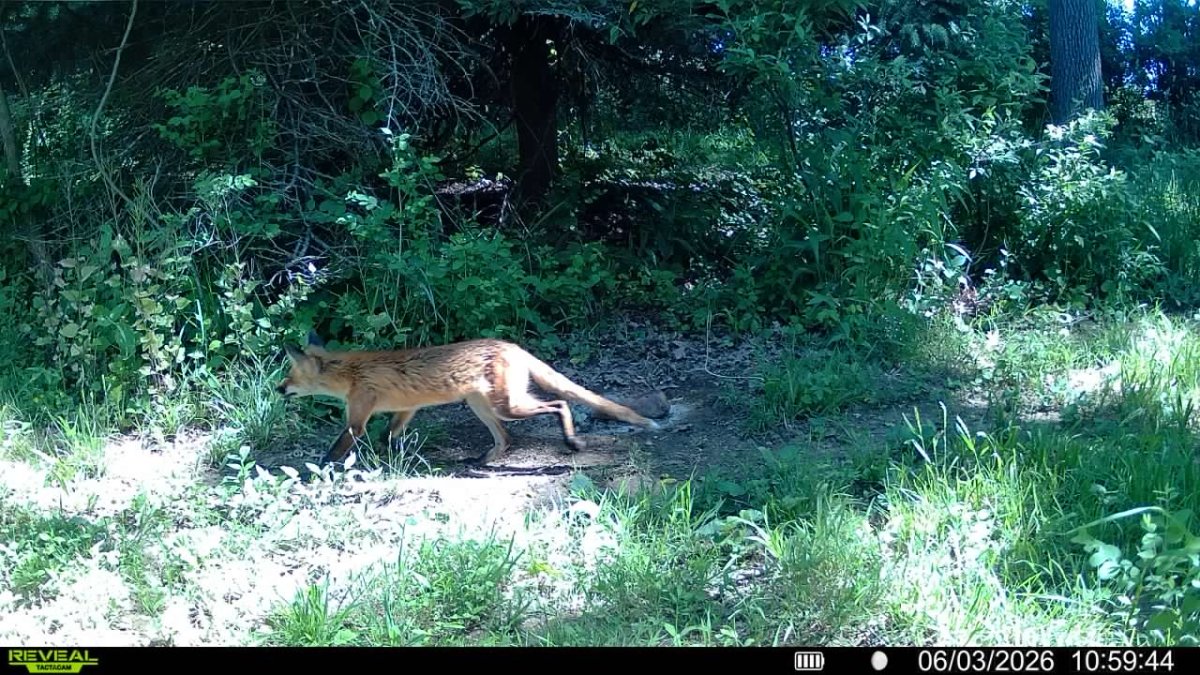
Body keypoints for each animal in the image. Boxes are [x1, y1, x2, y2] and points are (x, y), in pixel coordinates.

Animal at [276, 330, 663, 466]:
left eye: (290, 375)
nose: (278, 389)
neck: (352, 372)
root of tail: (512, 345)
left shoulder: (358, 418)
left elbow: (339, 447)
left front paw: (317, 470)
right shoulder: (406, 409)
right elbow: (390, 438)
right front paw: (400, 461)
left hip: (508, 407)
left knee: (560, 404)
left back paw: (571, 441)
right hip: (484, 408)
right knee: (506, 440)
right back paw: (480, 460)